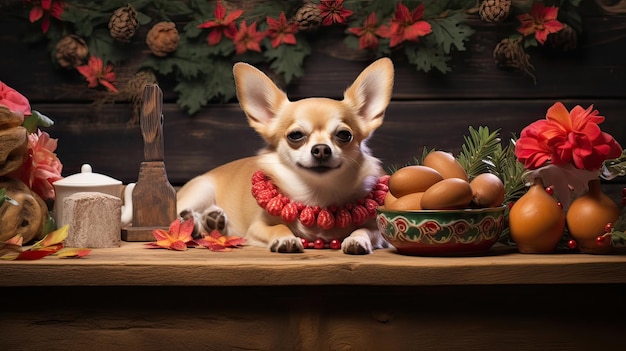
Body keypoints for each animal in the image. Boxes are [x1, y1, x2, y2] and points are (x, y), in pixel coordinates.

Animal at [176, 58, 390, 256]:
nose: (321, 149)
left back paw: (211, 221)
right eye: (295, 135)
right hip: (200, 191)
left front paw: (357, 240)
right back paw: (193, 225)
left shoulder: (378, 230)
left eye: (344, 135)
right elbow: (278, 227)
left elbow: (366, 230)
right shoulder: (257, 228)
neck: (317, 195)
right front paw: (286, 239)